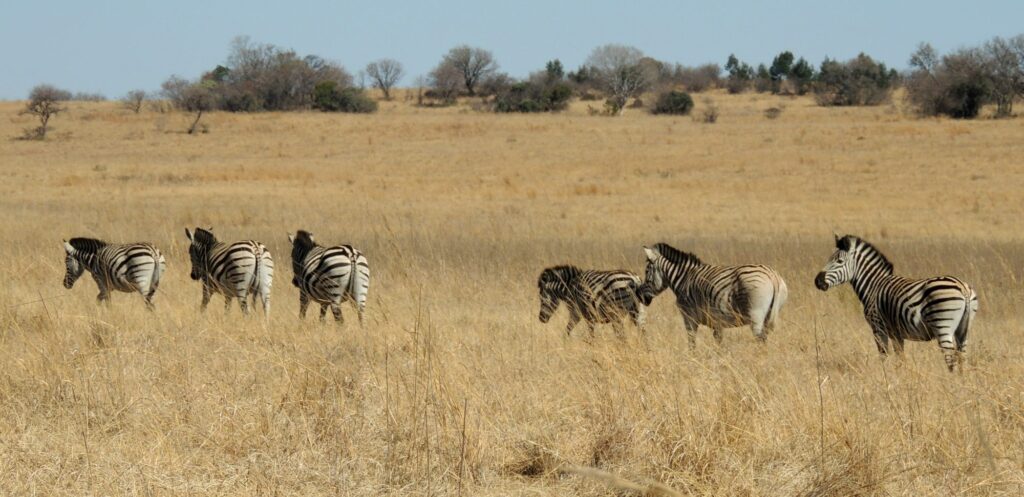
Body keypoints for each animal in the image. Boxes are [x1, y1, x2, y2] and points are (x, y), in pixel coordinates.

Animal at [641, 243, 788, 347]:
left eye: (647, 271)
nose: (641, 297)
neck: (683, 278)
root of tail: (773, 276)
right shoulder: (717, 321)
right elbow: (718, 342)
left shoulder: (689, 316)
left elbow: (691, 341)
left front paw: (692, 359)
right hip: (770, 315)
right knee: (764, 338)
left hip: (755, 314)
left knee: (760, 339)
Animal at [814, 234, 978, 371]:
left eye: (839, 261)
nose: (817, 282)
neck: (873, 285)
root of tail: (963, 287)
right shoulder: (896, 333)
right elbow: (900, 358)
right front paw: (902, 377)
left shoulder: (878, 327)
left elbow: (883, 355)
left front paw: (885, 377)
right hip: (964, 330)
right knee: (962, 358)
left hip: (942, 325)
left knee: (950, 359)